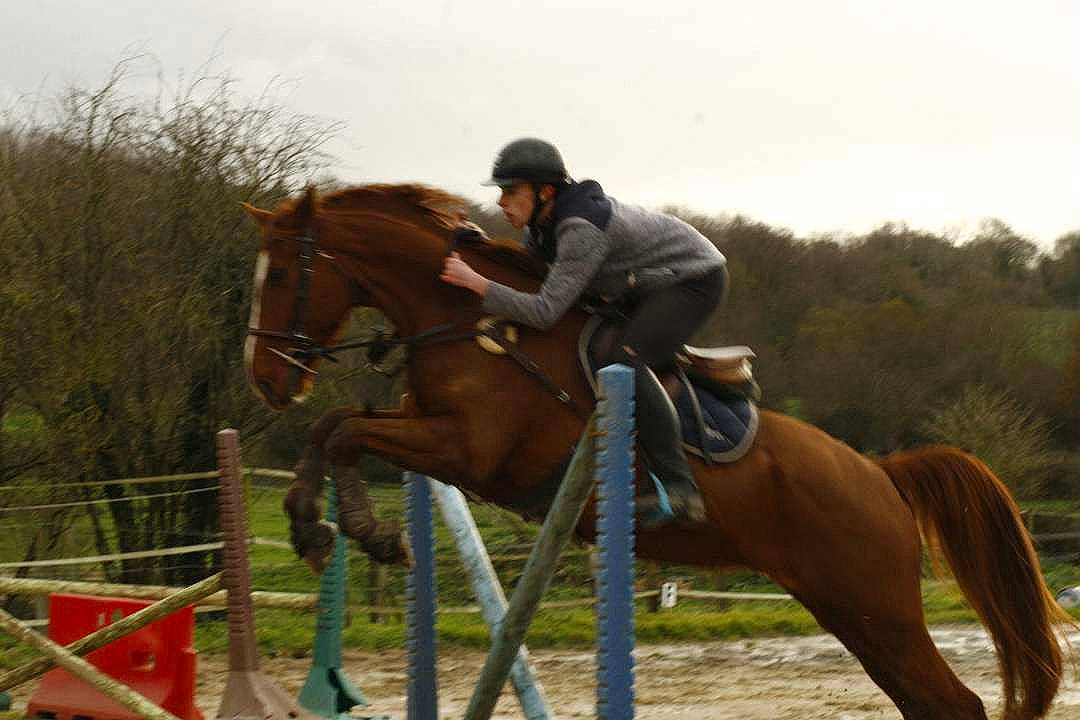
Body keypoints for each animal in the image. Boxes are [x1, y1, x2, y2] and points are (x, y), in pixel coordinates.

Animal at [242, 184, 1069, 720]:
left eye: (280, 274)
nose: (266, 381)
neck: (467, 319)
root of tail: (882, 474)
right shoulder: (429, 434)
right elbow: (333, 428)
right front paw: (324, 527)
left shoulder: (469, 451)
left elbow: (345, 430)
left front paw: (347, 529)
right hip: (851, 610)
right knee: (928, 703)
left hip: (876, 604)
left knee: (953, 703)